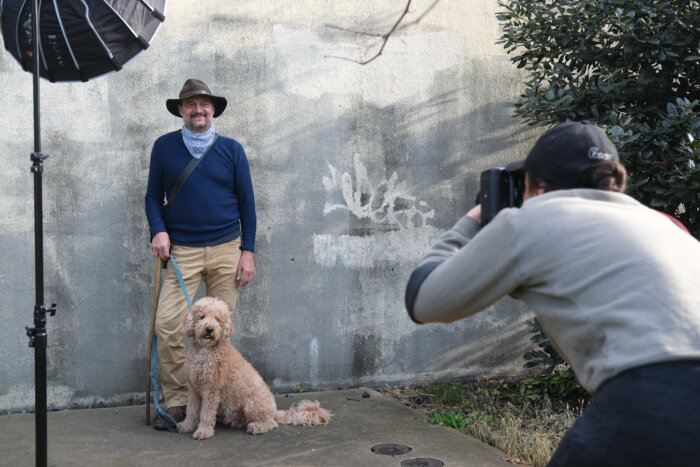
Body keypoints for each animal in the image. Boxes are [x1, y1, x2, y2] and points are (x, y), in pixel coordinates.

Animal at [176, 298, 332, 440]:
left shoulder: (211, 390)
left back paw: (257, 427)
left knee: (271, 422)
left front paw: (203, 431)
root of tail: (274, 410)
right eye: (202, 316)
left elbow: (206, 413)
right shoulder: (194, 389)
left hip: (252, 403)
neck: (205, 350)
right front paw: (187, 425)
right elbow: (192, 410)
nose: (209, 329)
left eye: (217, 319)